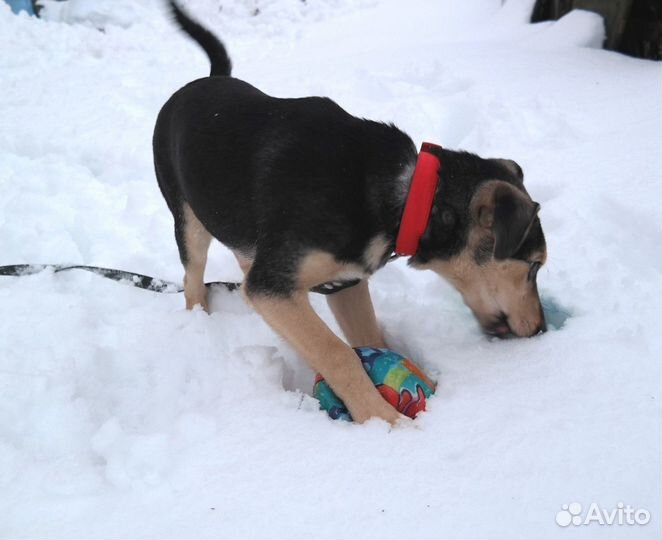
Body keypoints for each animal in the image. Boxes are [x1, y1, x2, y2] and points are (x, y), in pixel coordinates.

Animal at [156, 1, 548, 426]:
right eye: (533, 266)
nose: (542, 330)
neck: (406, 196)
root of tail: (204, 80)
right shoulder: (274, 287)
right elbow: (338, 353)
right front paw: (385, 421)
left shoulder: (344, 281)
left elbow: (368, 338)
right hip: (187, 219)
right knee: (193, 279)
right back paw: (199, 321)